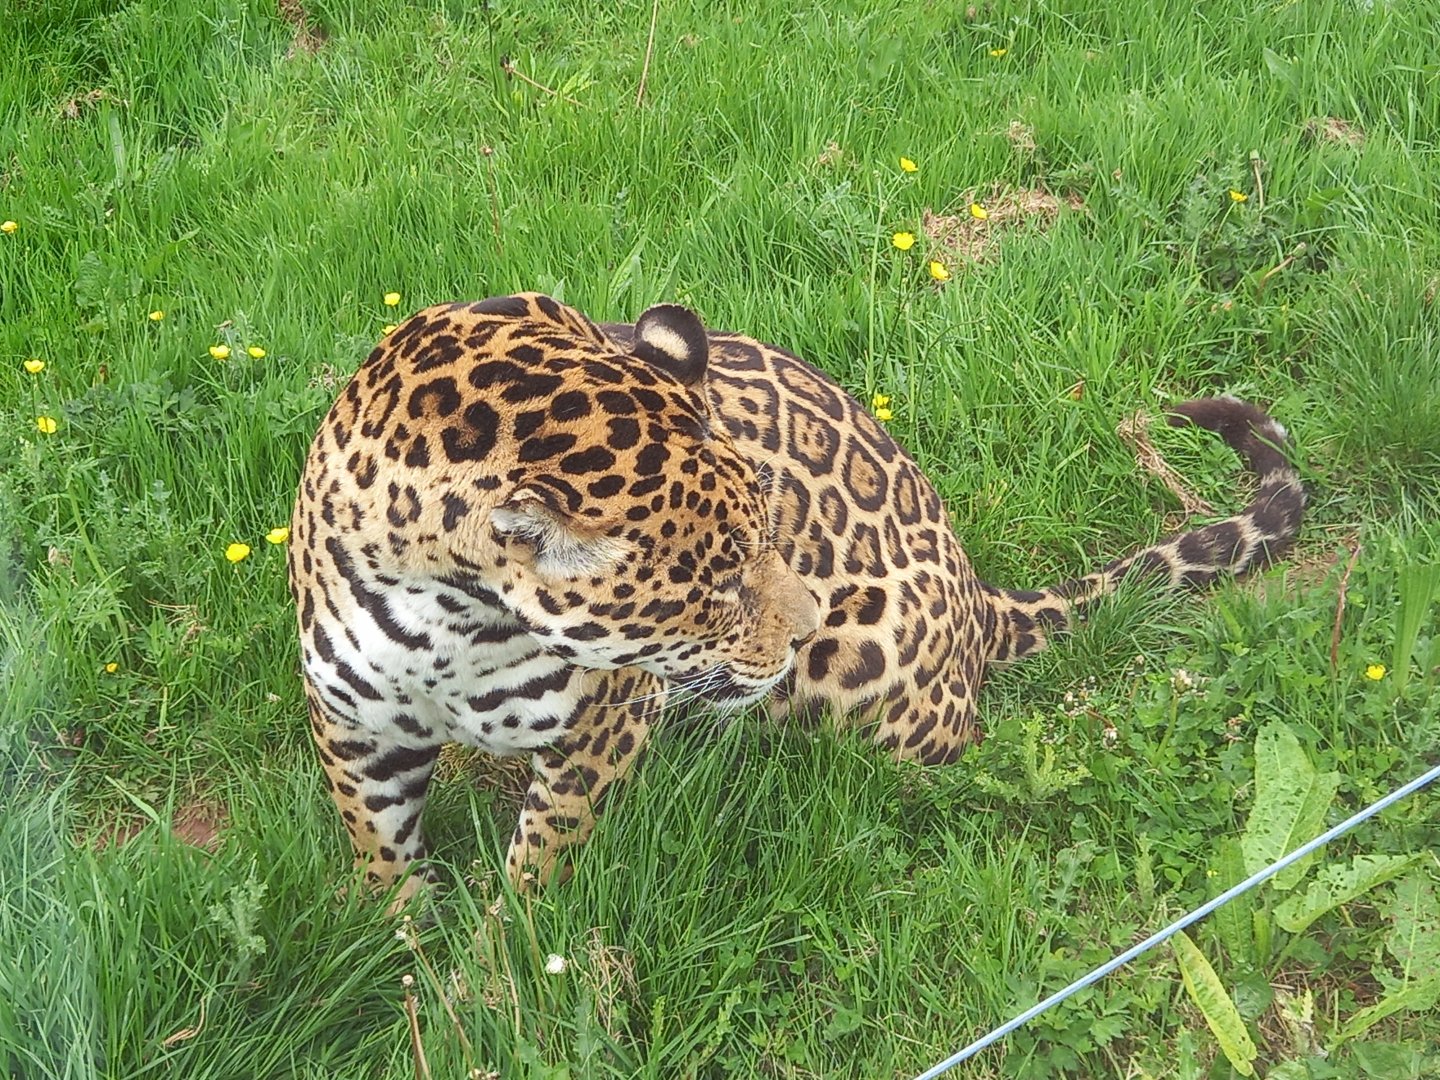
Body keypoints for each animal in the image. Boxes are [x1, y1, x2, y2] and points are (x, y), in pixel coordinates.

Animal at [288, 291, 1304, 907]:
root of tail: (977, 597)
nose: (803, 622)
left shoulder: (601, 726)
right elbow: (379, 852)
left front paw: (504, 962)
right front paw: (413, 958)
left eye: (772, 530)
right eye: (718, 585)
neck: (452, 617)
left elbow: (545, 856)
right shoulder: (356, 724)